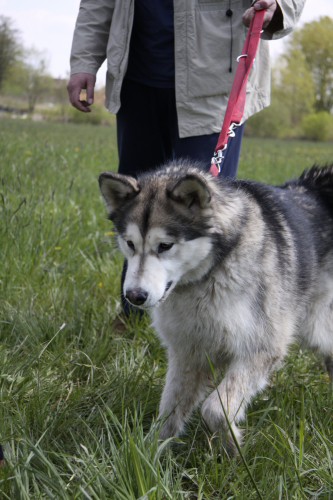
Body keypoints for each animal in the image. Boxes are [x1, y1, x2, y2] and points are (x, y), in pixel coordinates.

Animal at [98, 162, 332, 452]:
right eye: (130, 244)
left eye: (165, 246)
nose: (134, 296)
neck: (205, 278)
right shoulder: (188, 353)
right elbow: (169, 410)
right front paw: (152, 451)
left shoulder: (262, 348)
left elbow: (214, 409)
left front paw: (232, 444)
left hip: (317, 328)